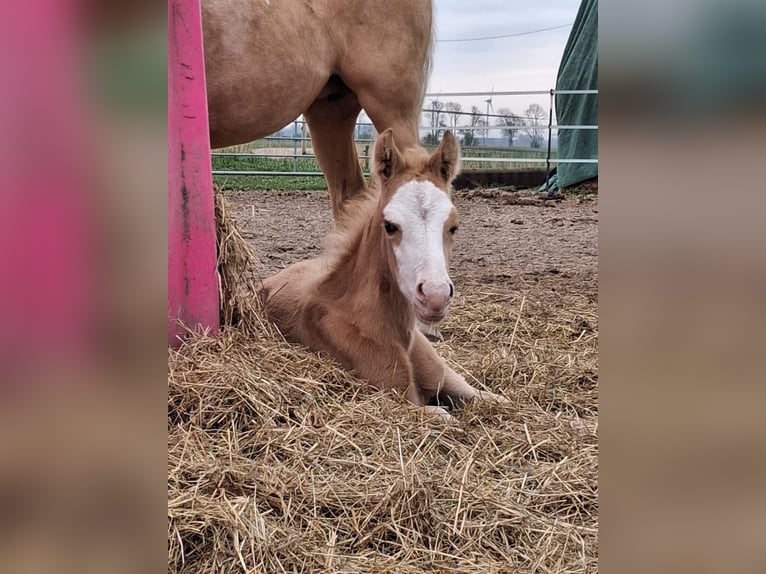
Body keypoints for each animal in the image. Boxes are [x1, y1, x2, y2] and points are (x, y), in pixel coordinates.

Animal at [259, 130, 509, 418]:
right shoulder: (403, 399)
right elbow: (444, 416)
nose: (434, 296)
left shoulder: (450, 379)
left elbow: (497, 400)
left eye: (454, 226)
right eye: (390, 226)